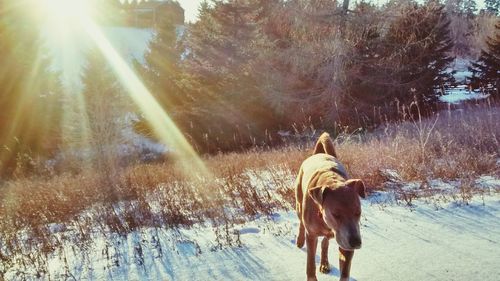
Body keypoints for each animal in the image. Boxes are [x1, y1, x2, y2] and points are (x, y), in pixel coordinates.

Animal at [294, 132, 366, 280]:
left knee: (325, 243)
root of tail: (318, 153)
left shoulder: (345, 242)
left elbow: (345, 272)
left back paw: (324, 263)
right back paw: (299, 240)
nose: (356, 243)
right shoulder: (312, 236)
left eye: (358, 212)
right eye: (336, 214)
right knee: (301, 223)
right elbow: (310, 265)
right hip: (298, 203)